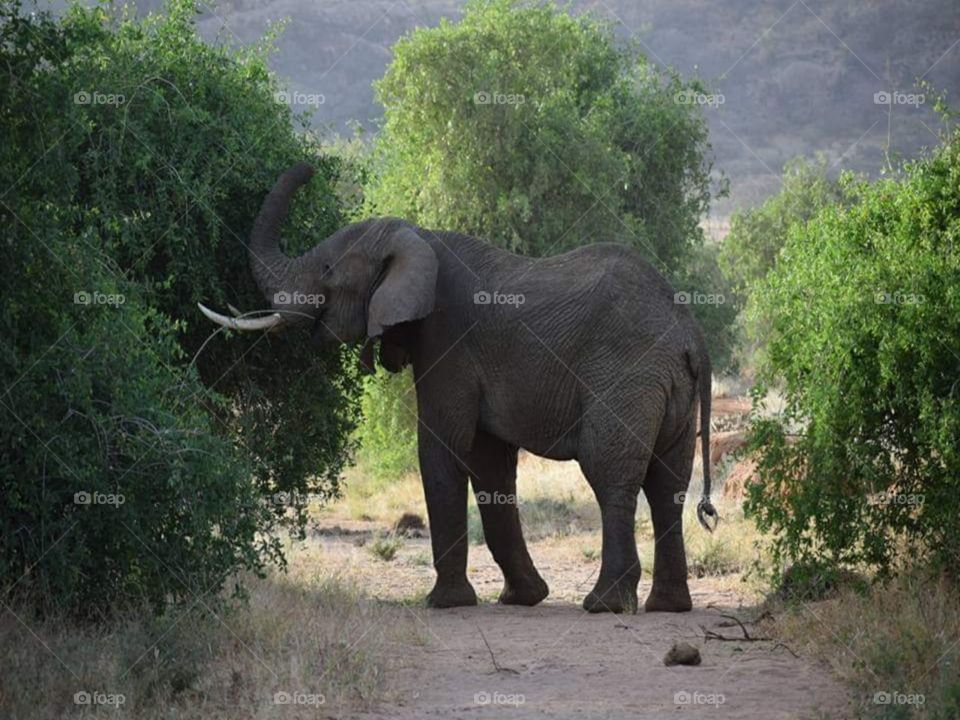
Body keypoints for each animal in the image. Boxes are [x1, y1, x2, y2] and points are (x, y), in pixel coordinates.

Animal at [200, 163, 718, 613]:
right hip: (670, 390)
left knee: (611, 475)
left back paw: (604, 605)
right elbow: (489, 465)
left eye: (327, 271)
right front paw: (523, 598)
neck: (418, 237)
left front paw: (445, 603)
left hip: (625, 376)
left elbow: (441, 448)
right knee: (668, 486)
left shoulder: (447, 342)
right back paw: (668, 607)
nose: (309, 168)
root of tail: (691, 334)